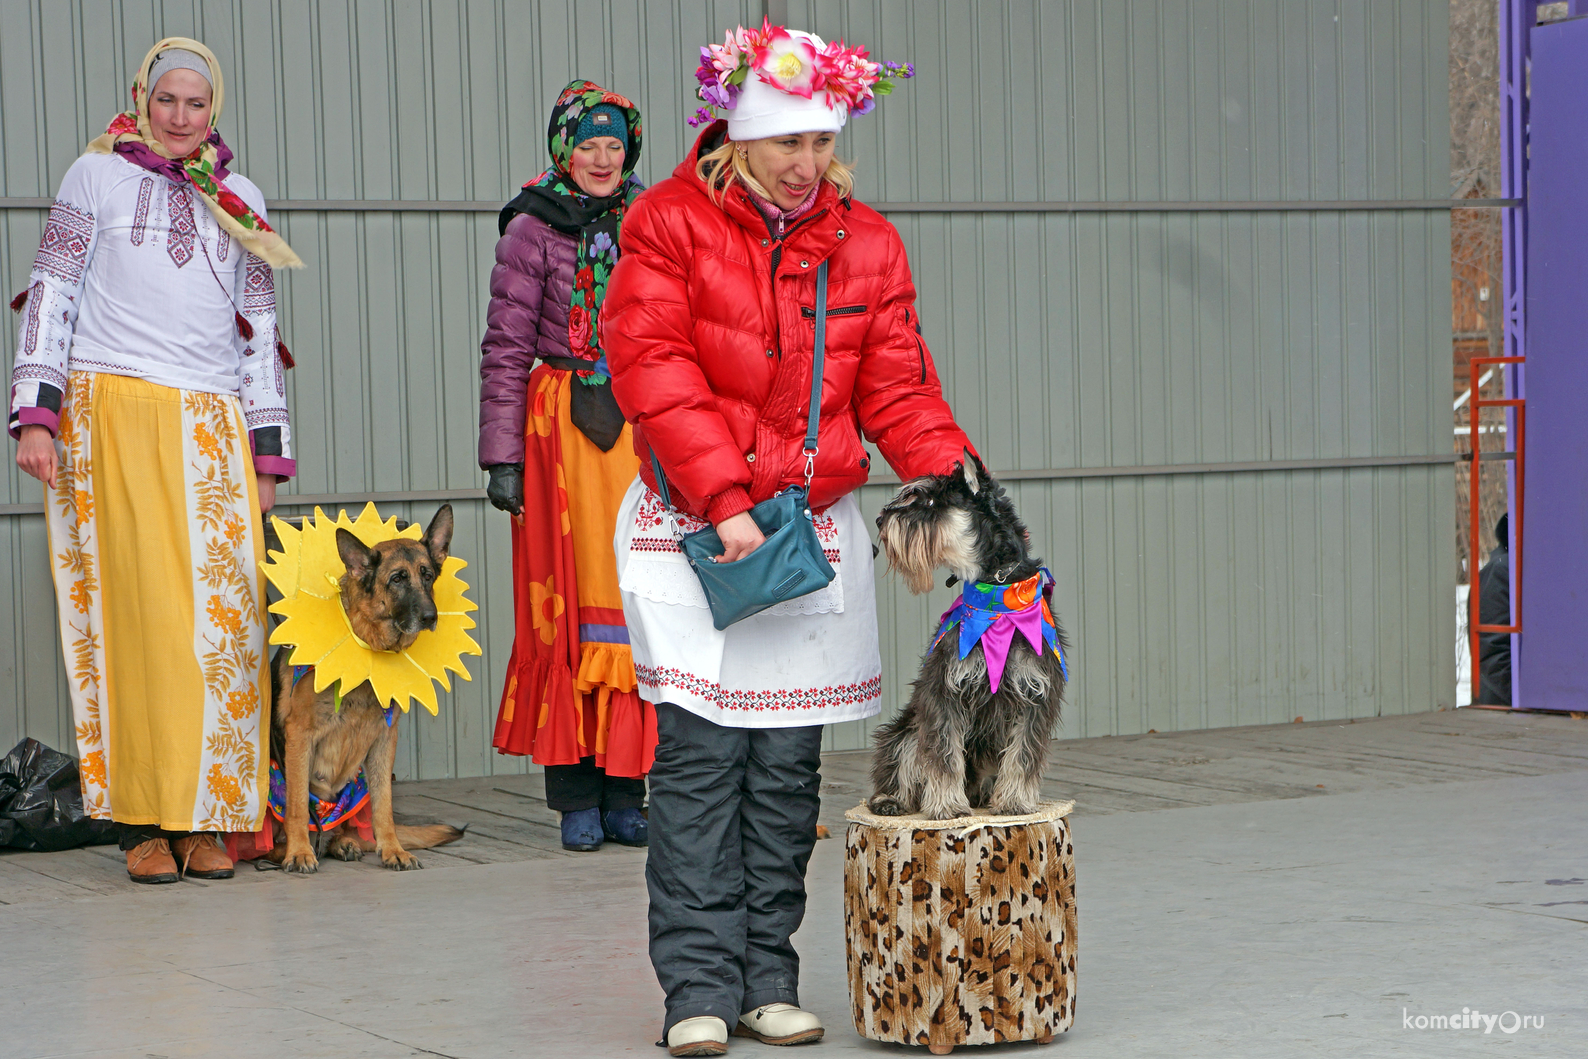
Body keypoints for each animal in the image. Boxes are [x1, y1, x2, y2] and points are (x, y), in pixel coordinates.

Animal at [266, 508, 463, 876]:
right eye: (397, 579)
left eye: (427, 575)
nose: (431, 617)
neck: (367, 644)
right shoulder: (299, 735)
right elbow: (298, 805)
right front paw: (299, 852)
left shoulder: (386, 739)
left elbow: (384, 804)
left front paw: (393, 850)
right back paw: (286, 850)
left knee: (343, 828)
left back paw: (345, 842)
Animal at [870, 450, 1067, 819]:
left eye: (932, 501)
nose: (880, 520)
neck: (998, 593)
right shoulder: (943, 692)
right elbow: (944, 754)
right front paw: (947, 804)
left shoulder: (1035, 694)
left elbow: (1023, 754)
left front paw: (1015, 801)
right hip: (906, 730)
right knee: (901, 760)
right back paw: (890, 799)